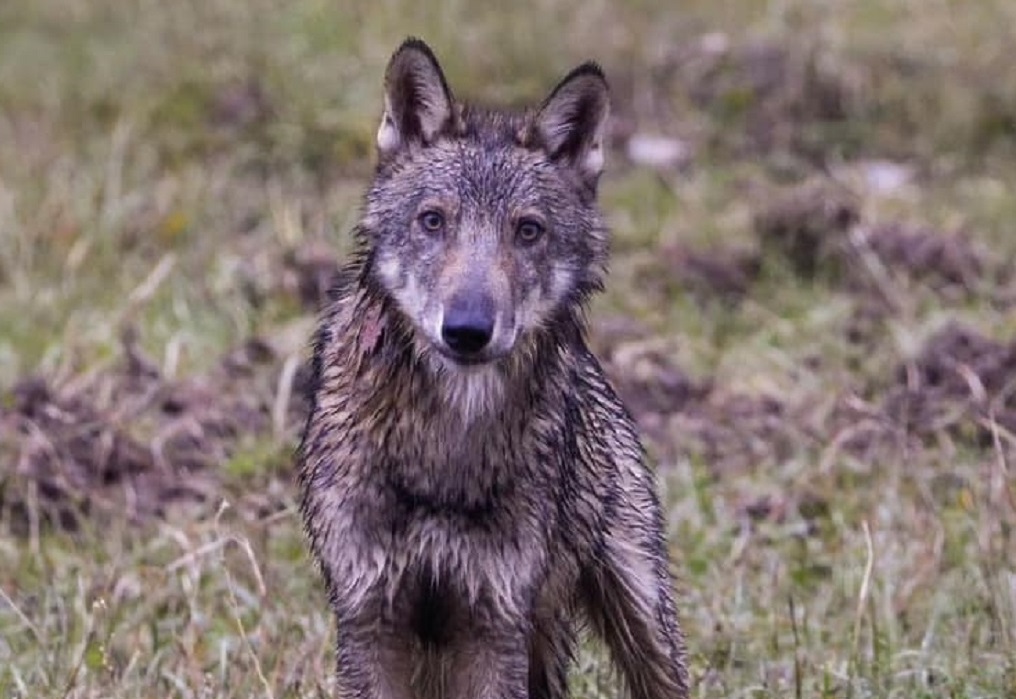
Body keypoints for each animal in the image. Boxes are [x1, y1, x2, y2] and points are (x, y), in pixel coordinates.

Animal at [297, 37, 690, 699]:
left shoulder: (494, 621)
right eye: (433, 221)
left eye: (527, 231)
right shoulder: (369, 617)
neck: (446, 450)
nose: (467, 330)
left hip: (639, 618)